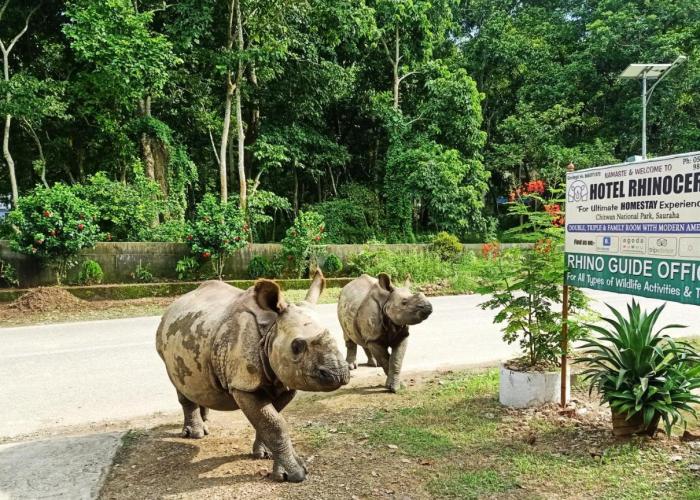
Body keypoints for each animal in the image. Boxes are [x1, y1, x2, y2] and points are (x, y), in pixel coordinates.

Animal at [156, 270, 349, 483]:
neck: (271, 329)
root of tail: (174, 305)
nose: (338, 374)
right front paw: (294, 474)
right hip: (164, 345)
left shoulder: (286, 380)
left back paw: (205, 422)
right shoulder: (243, 384)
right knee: (177, 381)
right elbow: (275, 424)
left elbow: (270, 419)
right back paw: (196, 434)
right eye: (297, 346)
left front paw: (264, 454)